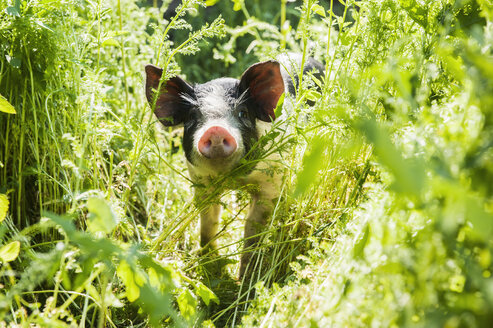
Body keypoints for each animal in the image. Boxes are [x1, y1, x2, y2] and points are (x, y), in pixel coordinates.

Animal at [146, 55, 322, 276]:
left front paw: (245, 276)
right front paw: (209, 262)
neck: (235, 179)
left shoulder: (271, 183)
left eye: (242, 113)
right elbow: (208, 220)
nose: (215, 130)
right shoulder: (200, 182)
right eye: (193, 116)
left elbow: (254, 227)